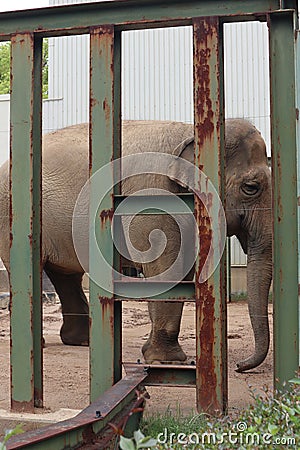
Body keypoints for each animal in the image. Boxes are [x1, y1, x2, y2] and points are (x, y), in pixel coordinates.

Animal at [0, 118, 272, 370]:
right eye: (251, 187)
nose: (239, 366)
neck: (190, 131)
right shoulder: (152, 199)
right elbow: (165, 267)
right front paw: (167, 361)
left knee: (66, 276)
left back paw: (82, 341)